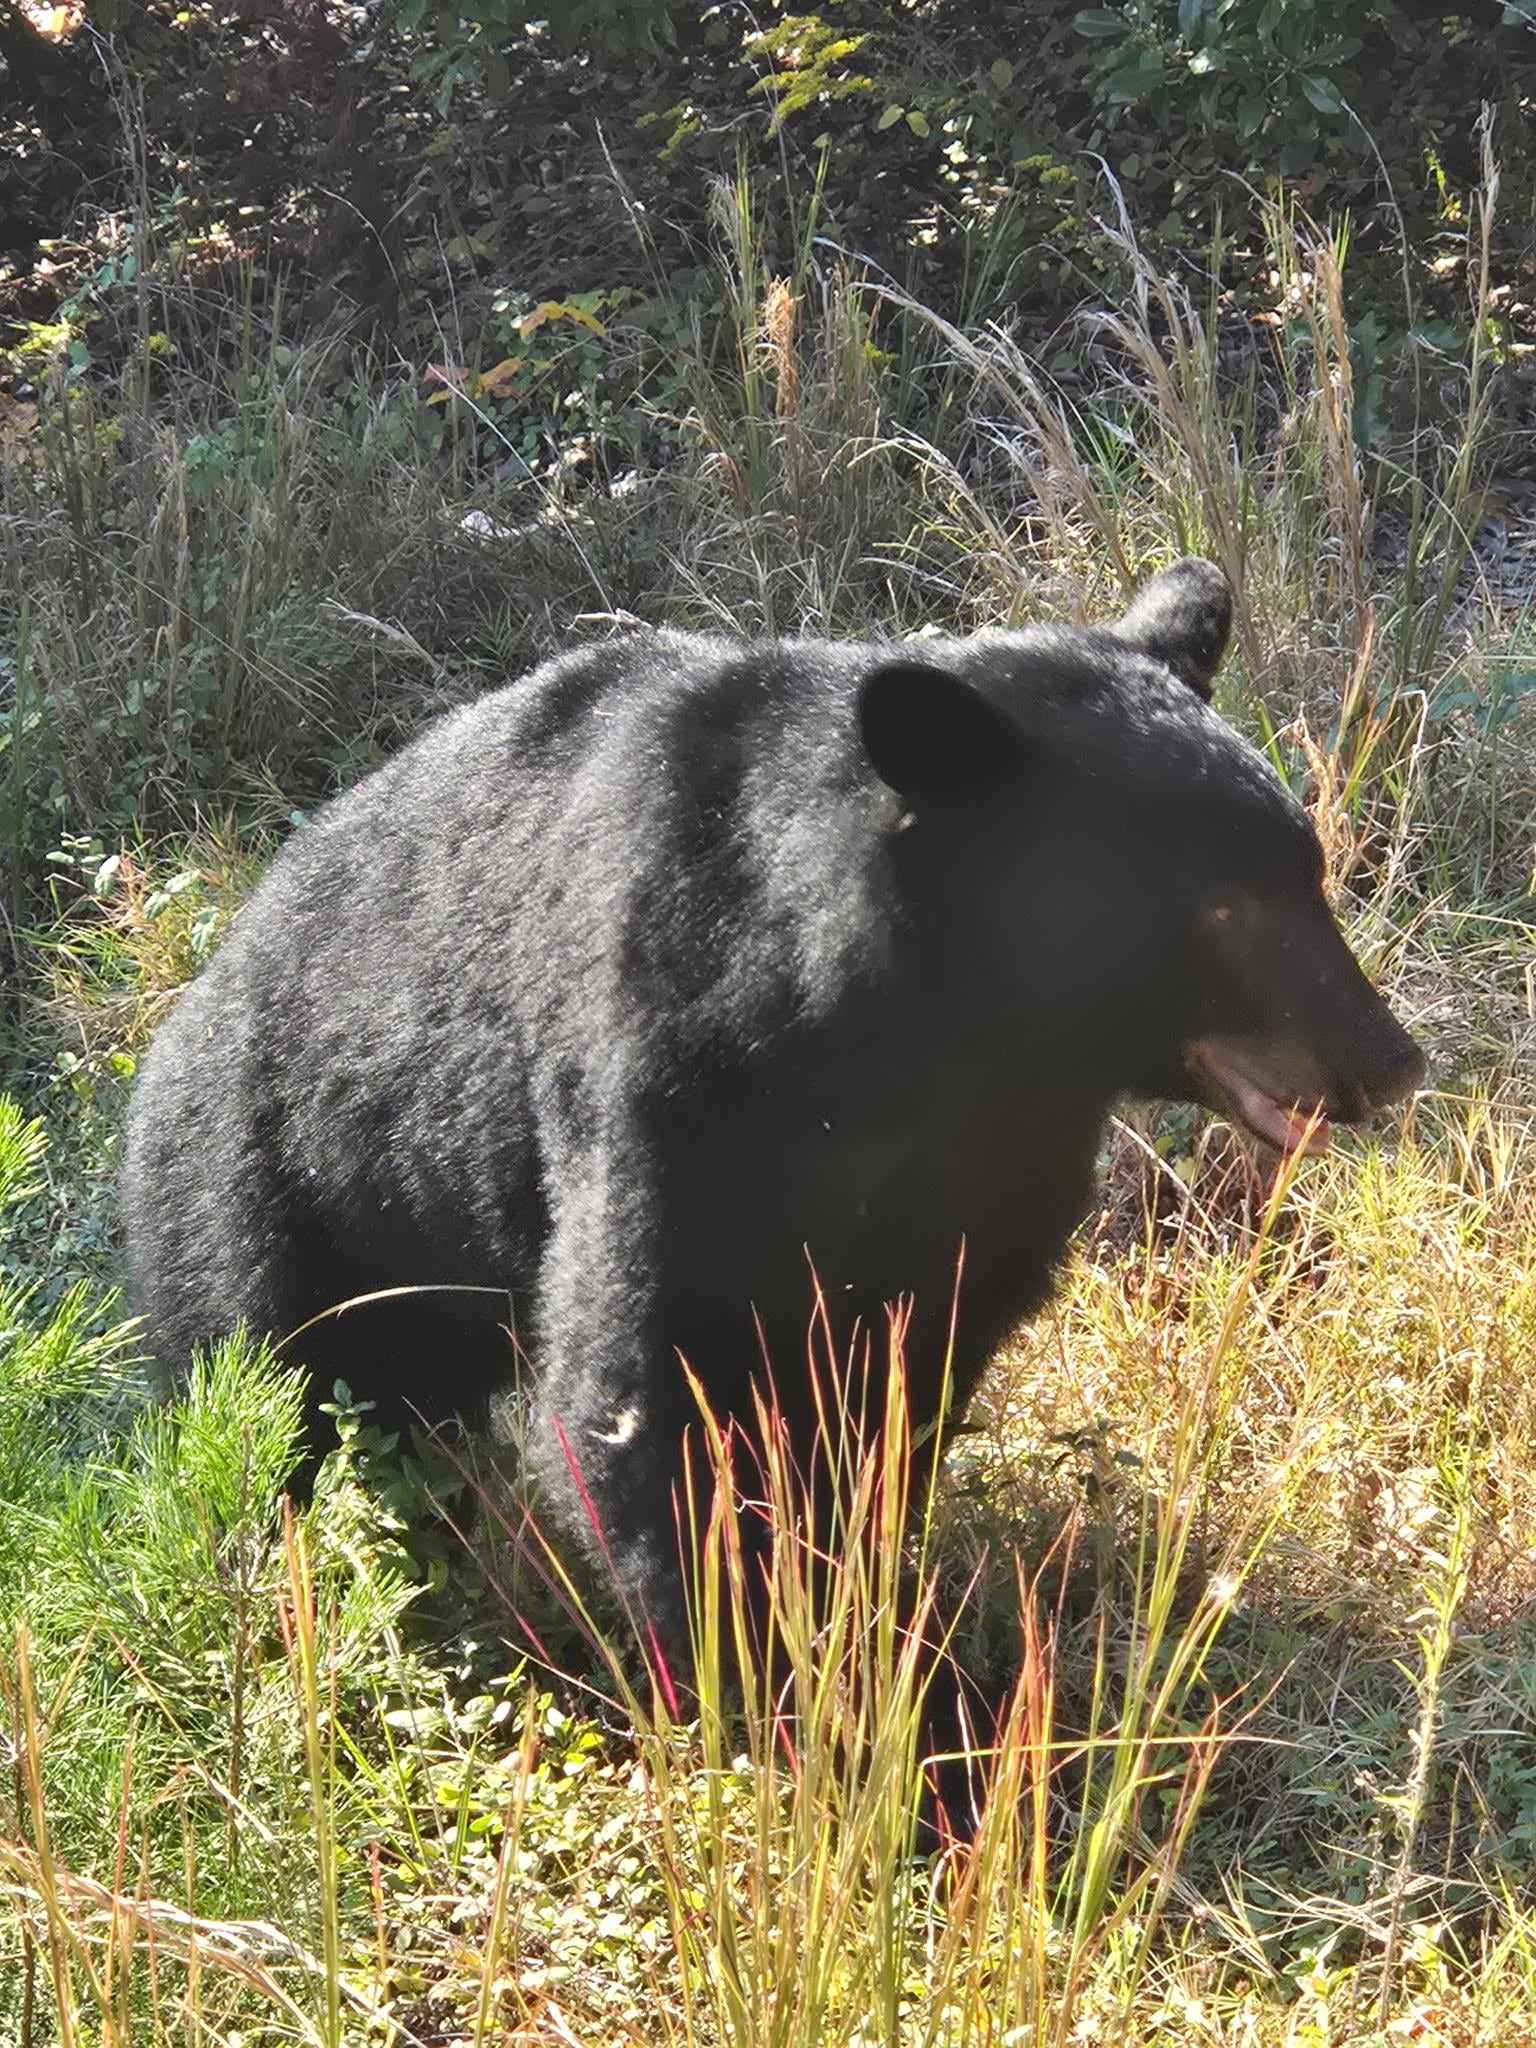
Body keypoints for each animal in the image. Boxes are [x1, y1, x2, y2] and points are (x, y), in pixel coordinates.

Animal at [122, 559, 1424, 1657]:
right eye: (1220, 903)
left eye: (1308, 868)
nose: (1390, 1060)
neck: (915, 1037)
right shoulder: (674, 1079)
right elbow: (649, 1374)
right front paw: (757, 1660)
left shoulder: (991, 1150)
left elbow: (908, 1360)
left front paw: (861, 1573)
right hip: (278, 1193)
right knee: (274, 1390)